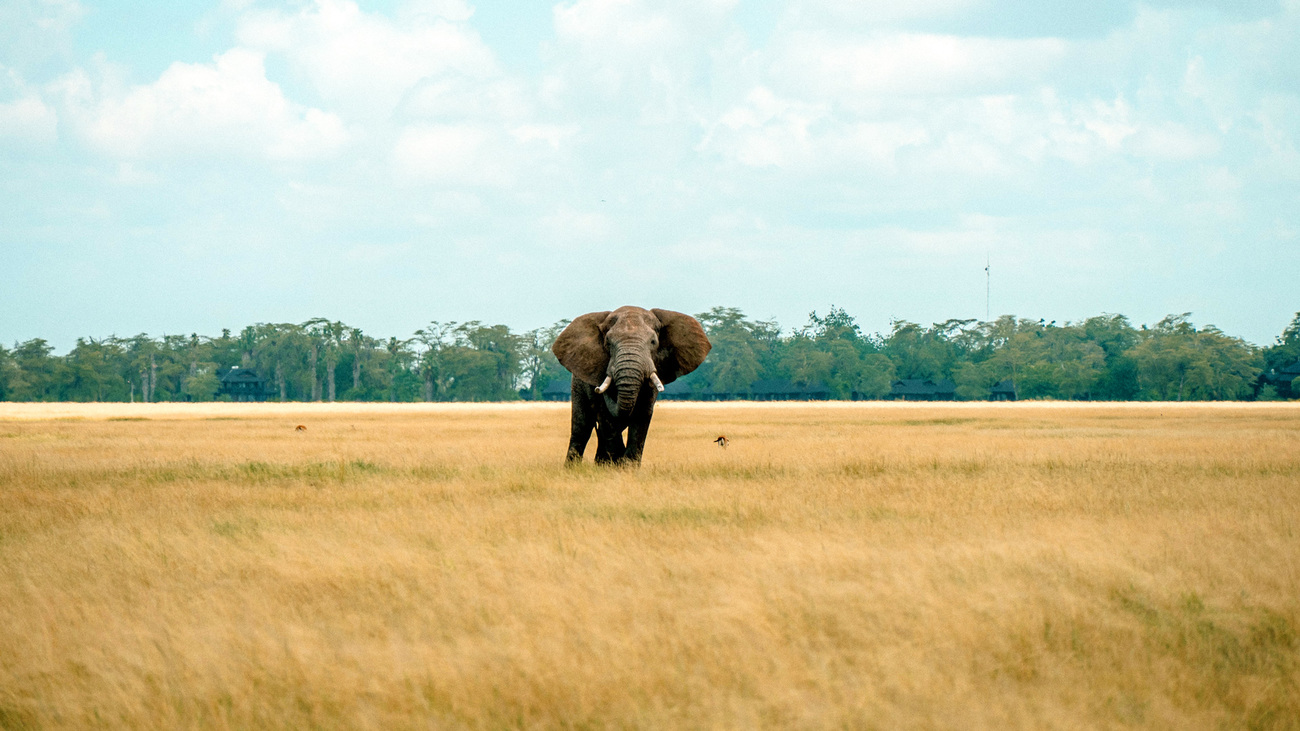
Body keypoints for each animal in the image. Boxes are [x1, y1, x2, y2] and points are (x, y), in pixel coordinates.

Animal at [548, 304, 712, 463]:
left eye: (653, 342)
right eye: (608, 343)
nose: (597, 389)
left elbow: (642, 416)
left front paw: (627, 467)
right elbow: (606, 417)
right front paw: (616, 464)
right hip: (577, 385)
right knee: (582, 428)